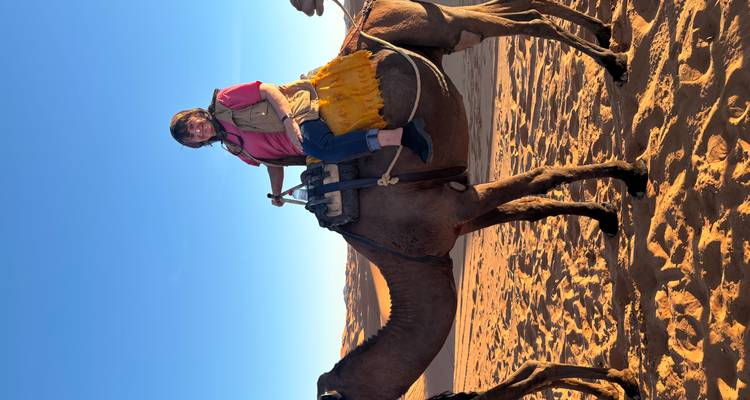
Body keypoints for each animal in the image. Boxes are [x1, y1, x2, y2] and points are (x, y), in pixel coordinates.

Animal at [289, 1, 645, 399]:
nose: (463, 395)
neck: (404, 254)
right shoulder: (463, 217)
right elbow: (532, 208)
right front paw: (606, 215)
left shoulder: (455, 208)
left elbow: (540, 177)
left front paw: (632, 175)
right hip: (441, 34)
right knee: (514, 12)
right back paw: (603, 34)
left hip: (442, 26)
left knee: (525, 21)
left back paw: (614, 62)